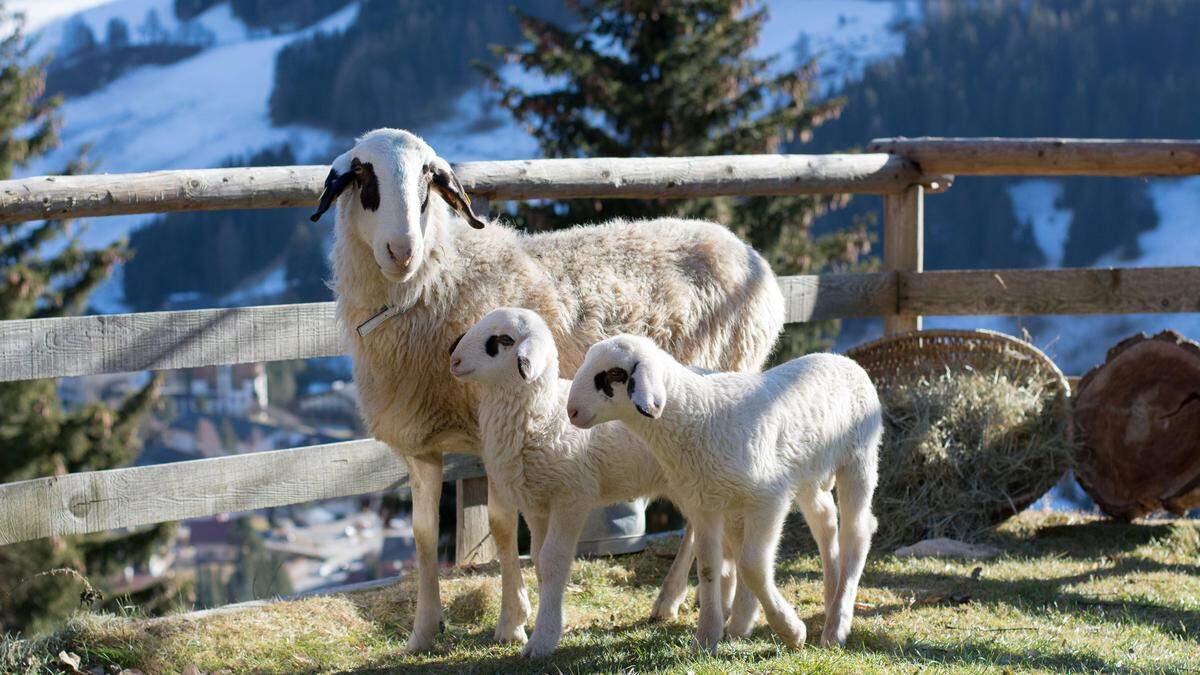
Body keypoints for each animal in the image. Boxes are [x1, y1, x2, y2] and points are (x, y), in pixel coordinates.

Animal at [309, 127, 787, 653]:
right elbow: (423, 534)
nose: (402, 251)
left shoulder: (495, 436)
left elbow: (501, 527)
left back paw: (674, 600)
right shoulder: (421, 443)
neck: (437, 282)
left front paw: (512, 621)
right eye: (363, 178)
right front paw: (424, 630)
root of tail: (745, 251)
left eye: (427, 181)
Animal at [561, 333, 883, 648]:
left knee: (857, 532)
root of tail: (842, 359)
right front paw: (707, 637)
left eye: (615, 373)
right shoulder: (705, 505)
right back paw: (830, 599)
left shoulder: (768, 499)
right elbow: (708, 568)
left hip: (858, 459)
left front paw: (791, 631)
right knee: (825, 521)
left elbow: (752, 566)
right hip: (807, 473)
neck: (701, 417)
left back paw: (837, 627)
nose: (572, 411)